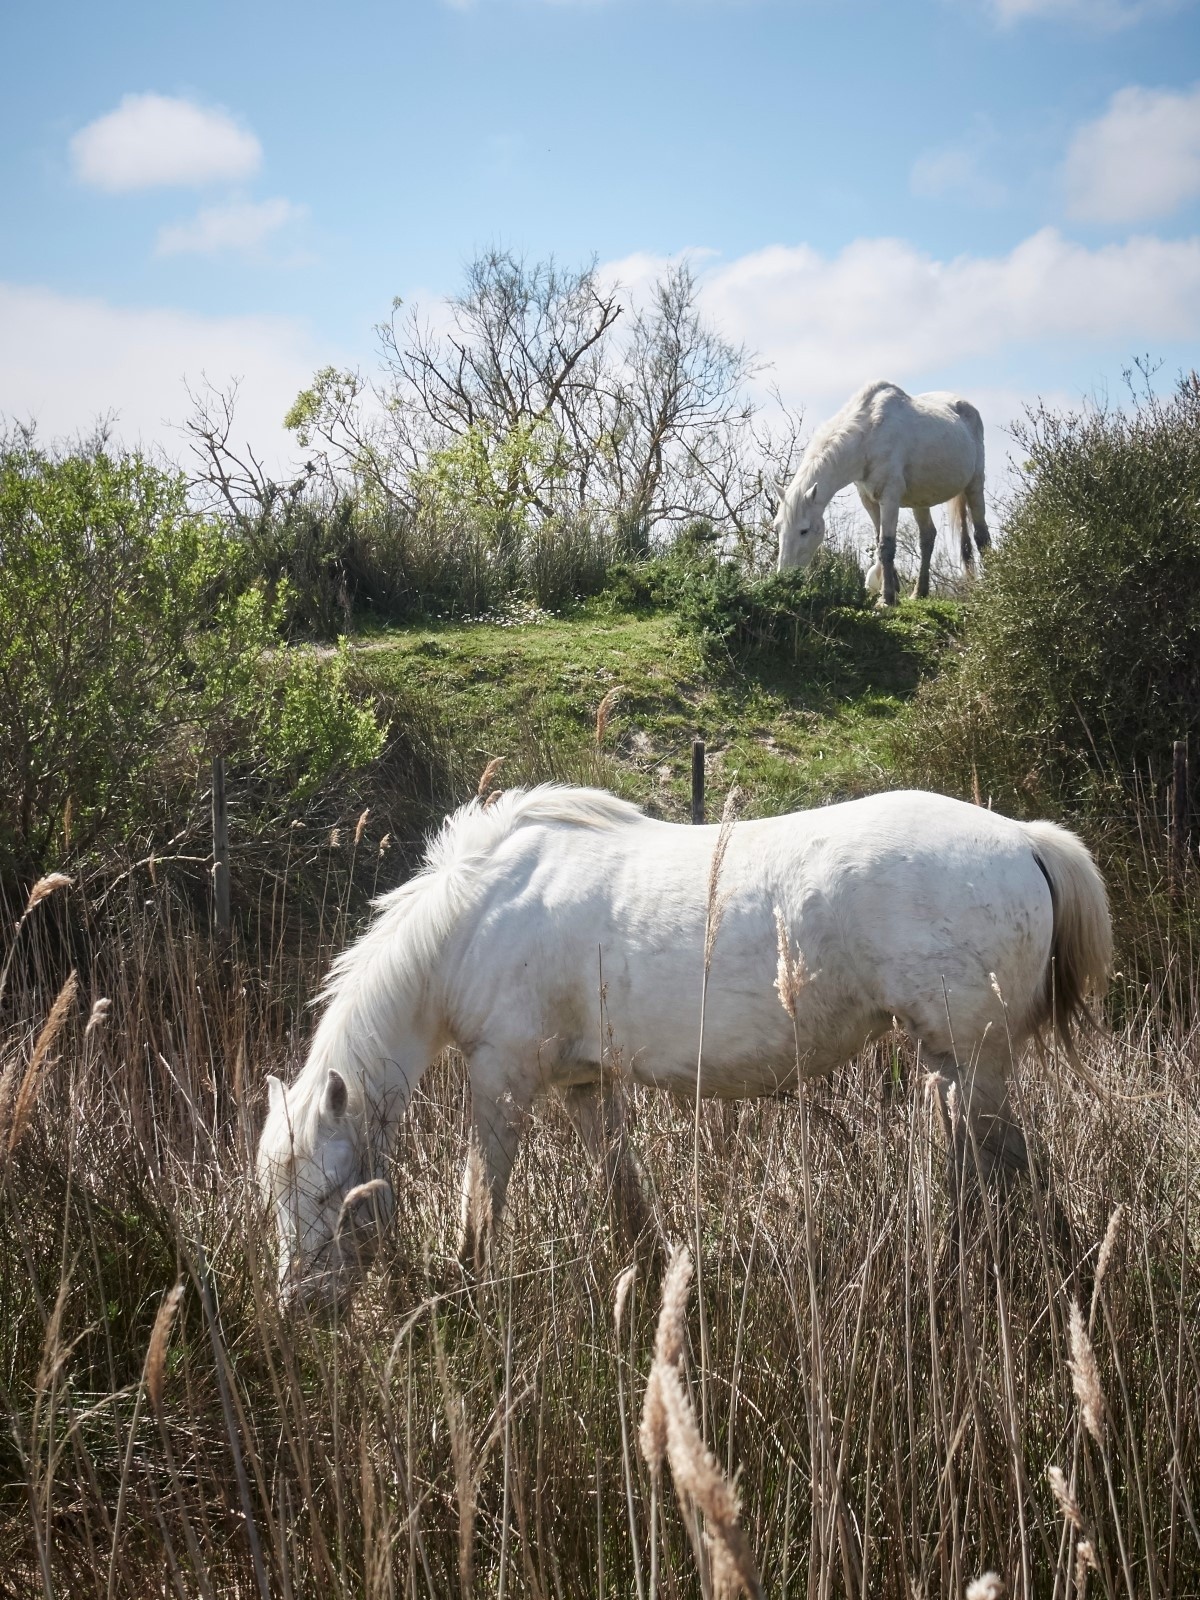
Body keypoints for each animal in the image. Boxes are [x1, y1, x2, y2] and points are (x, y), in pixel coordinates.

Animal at [256, 784, 1110, 1313]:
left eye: (330, 1193)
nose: (301, 1306)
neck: (477, 915)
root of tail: (1023, 841)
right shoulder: (584, 1086)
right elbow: (626, 1195)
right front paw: (660, 1282)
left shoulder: (502, 1077)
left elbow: (481, 1201)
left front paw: (465, 1291)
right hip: (954, 1067)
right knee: (993, 1172)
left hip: (972, 1064)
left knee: (1009, 1171)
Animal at [774, 381, 991, 605]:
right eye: (777, 528)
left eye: (804, 530)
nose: (784, 578)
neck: (869, 435)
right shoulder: (869, 501)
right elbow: (879, 542)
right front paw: (892, 590)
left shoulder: (890, 497)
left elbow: (886, 545)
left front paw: (886, 598)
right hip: (920, 501)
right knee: (927, 538)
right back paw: (919, 592)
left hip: (975, 484)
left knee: (981, 536)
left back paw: (990, 588)